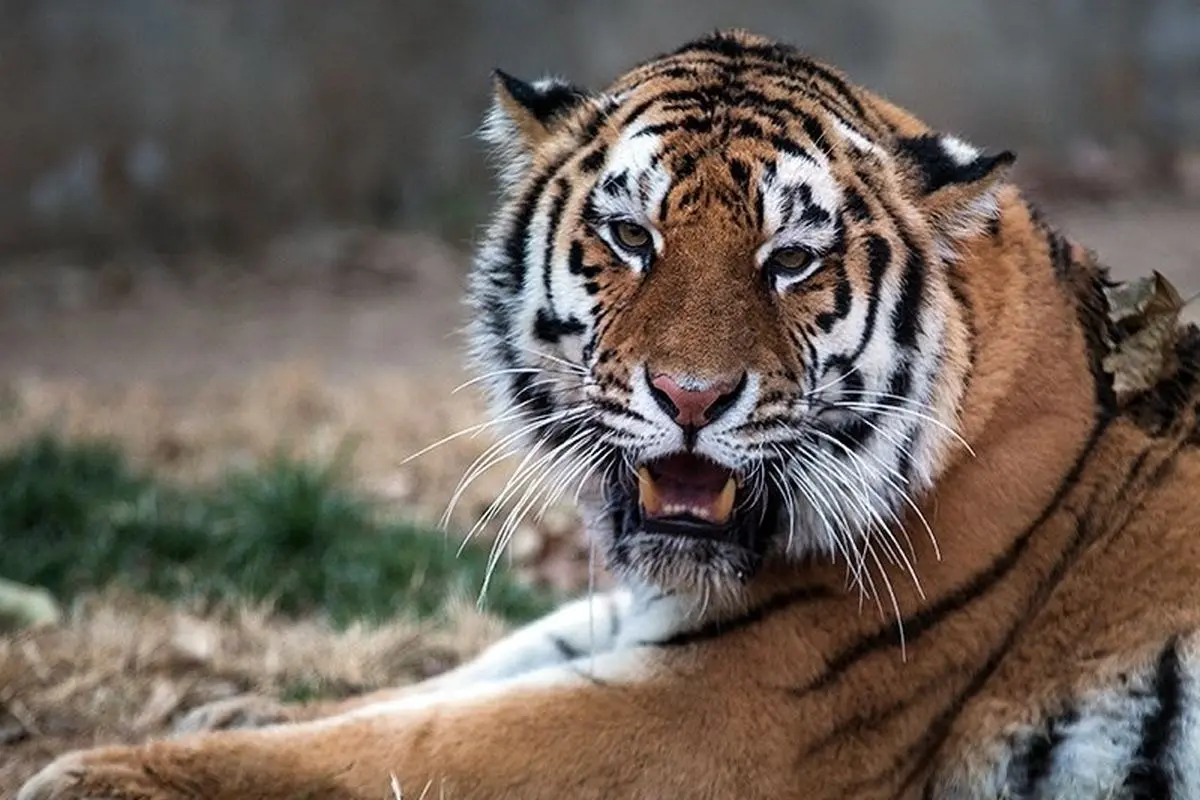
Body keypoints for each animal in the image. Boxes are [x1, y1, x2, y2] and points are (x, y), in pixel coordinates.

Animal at [16, 29, 1200, 800]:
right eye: (632, 237)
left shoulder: (718, 712)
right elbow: (463, 675)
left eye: (791, 260)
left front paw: (97, 773)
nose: (690, 397)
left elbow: (434, 741)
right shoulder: (650, 622)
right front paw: (233, 710)